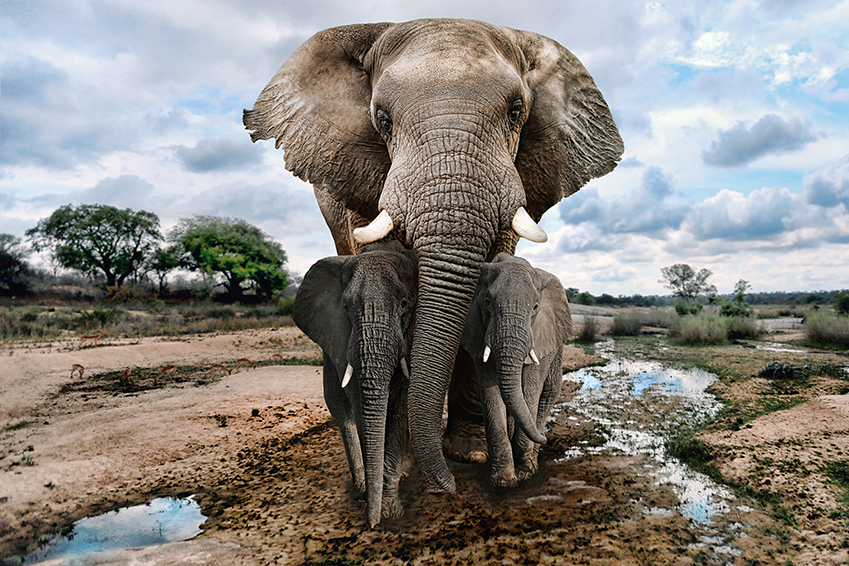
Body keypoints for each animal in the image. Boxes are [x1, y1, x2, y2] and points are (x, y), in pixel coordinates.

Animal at [292, 242, 418, 532]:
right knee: (341, 411)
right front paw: (379, 505)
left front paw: (390, 512)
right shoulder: (342, 341)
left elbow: (399, 407)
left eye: (404, 304)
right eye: (346, 306)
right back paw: (361, 487)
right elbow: (360, 404)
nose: (371, 525)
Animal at [460, 253, 572, 488]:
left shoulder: (540, 334)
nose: (545, 437)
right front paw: (503, 481)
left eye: (536, 307)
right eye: (487, 302)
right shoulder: (478, 331)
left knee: (548, 393)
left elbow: (530, 390)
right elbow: (491, 392)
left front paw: (526, 473)